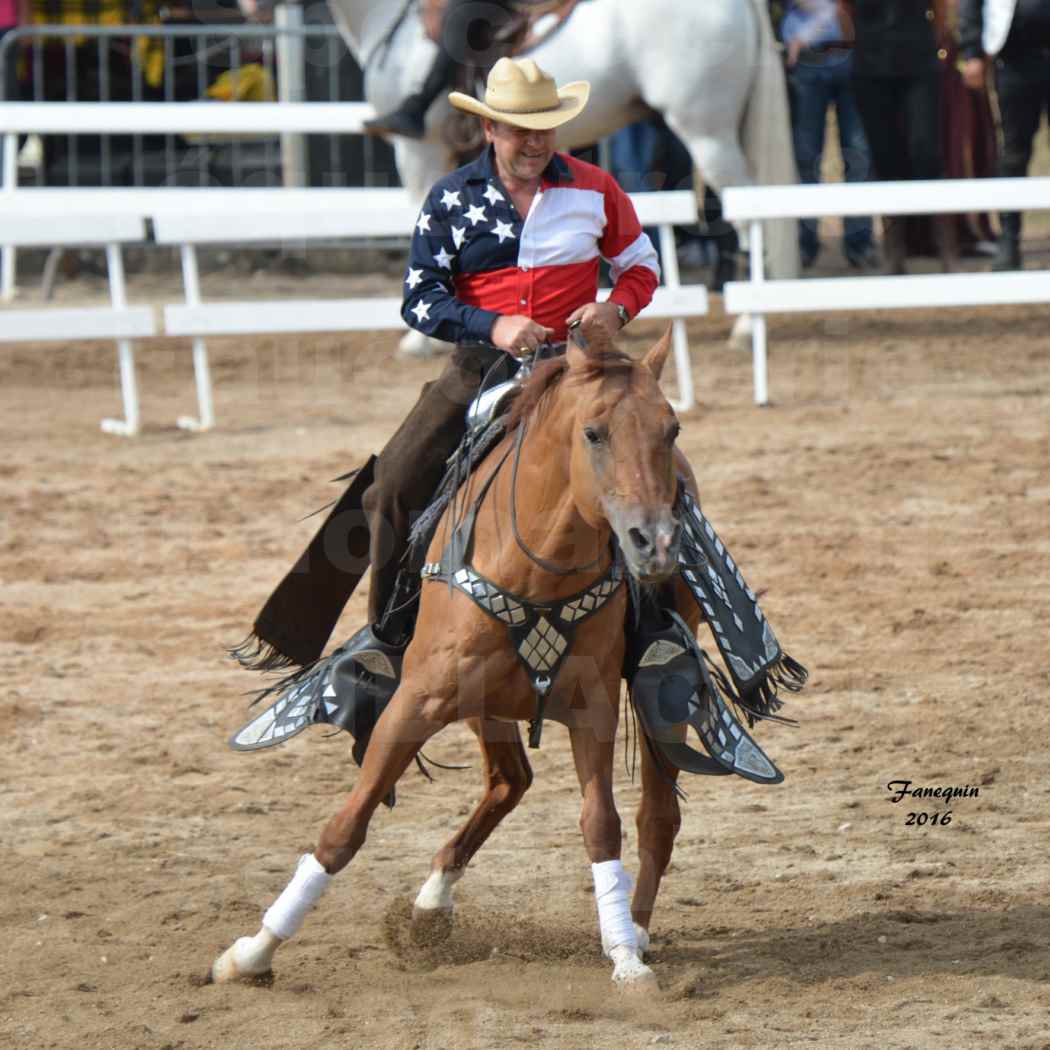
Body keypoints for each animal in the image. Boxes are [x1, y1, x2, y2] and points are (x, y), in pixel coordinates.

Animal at [208, 323, 701, 986]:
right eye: (594, 432)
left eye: (670, 429)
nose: (655, 543)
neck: (537, 570)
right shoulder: (416, 702)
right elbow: (346, 827)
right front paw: (251, 952)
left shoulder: (591, 710)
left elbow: (603, 826)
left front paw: (624, 958)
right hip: (481, 702)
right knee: (510, 781)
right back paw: (430, 906)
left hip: (653, 702)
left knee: (654, 815)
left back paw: (636, 929)